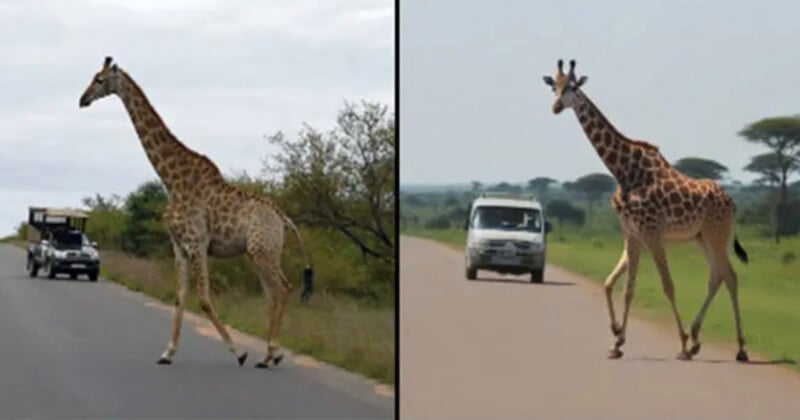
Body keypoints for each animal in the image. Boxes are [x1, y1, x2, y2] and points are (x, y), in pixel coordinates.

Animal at [78, 56, 315, 368]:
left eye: (101, 80)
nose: (82, 100)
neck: (171, 180)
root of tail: (283, 218)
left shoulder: (197, 242)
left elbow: (202, 298)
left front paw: (238, 352)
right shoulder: (179, 245)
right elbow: (180, 296)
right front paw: (167, 352)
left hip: (263, 249)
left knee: (283, 288)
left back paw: (272, 354)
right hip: (261, 252)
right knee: (272, 293)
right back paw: (268, 355)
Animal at [541, 59, 750, 362]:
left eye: (572, 87)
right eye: (553, 87)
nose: (556, 107)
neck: (622, 170)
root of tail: (733, 203)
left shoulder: (651, 233)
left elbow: (667, 286)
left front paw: (681, 344)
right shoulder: (631, 232)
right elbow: (616, 285)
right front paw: (617, 339)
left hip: (716, 235)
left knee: (730, 277)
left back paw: (739, 348)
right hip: (702, 237)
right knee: (718, 276)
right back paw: (699, 339)